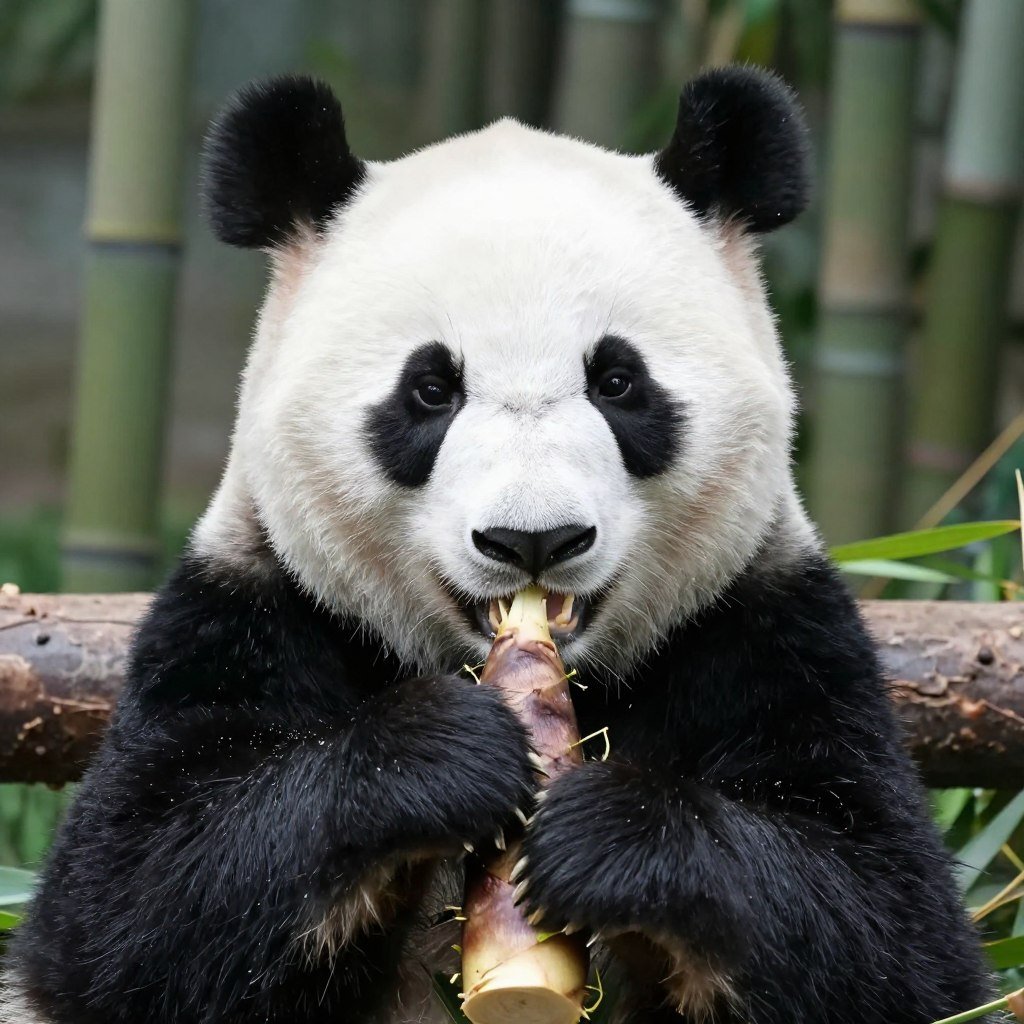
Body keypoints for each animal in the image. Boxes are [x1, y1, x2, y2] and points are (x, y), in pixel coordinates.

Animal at [2, 67, 990, 1024]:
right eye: (431, 390)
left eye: (619, 382)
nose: (533, 539)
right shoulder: (250, 611)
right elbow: (131, 903)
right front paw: (444, 755)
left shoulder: (766, 627)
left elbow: (885, 921)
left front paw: (607, 834)